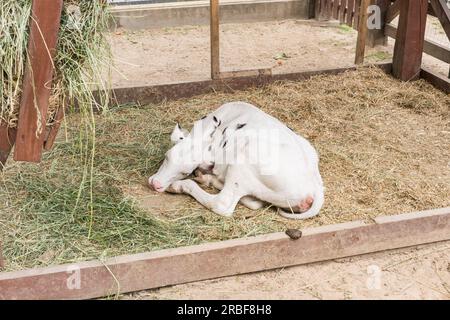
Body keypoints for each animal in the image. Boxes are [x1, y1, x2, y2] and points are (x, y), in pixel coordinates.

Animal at [148, 101, 324, 219]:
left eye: (185, 172)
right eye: (167, 157)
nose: (155, 184)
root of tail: (315, 188)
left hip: (242, 163)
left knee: (222, 203)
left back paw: (182, 185)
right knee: (254, 201)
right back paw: (207, 179)